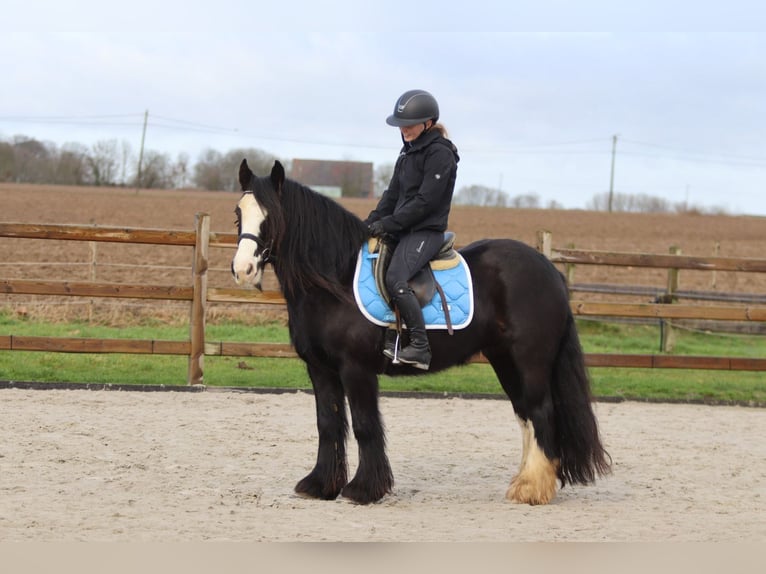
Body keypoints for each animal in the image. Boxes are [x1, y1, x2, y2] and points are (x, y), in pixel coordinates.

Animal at [231, 159, 611, 505]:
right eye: (238, 214)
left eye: (270, 216)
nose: (242, 269)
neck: (334, 281)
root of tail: (548, 269)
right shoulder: (320, 369)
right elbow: (328, 423)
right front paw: (320, 485)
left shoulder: (356, 369)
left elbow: (365, 425)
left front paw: (364, 490)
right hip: (505, 361)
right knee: (526, 416)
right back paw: (526, 483)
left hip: (530, 362)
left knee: (541, 412)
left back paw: (532, 490)